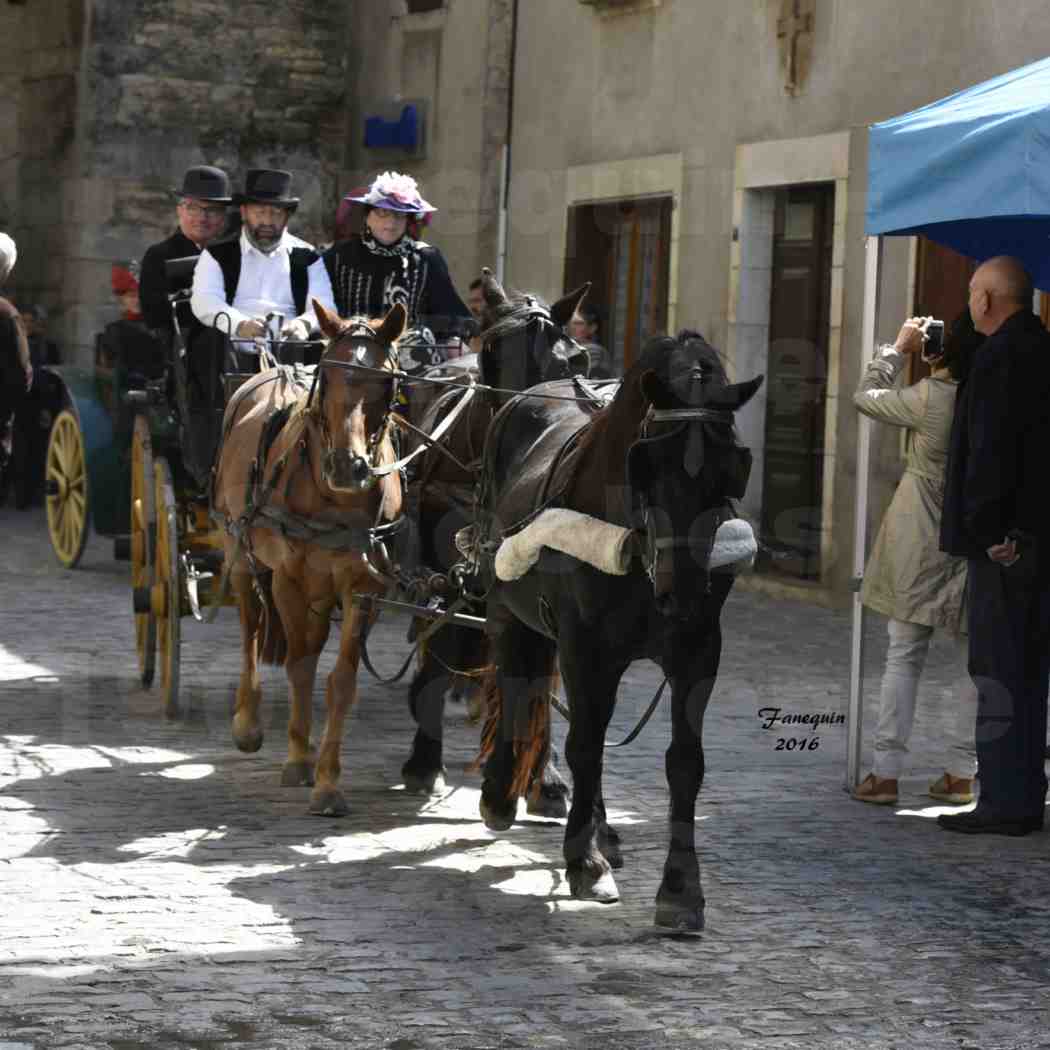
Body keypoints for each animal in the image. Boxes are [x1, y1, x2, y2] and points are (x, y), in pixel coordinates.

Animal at [212, 300, 405, 814]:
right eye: (329, 374)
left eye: (385, 382)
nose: (347, 466)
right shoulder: (288, 578)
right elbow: (299, 665)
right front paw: (298, 760)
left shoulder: (363, 588)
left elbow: (341, 681)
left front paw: (328, 780)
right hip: (240, 551)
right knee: (250, 627)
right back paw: (248, 723)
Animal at [398, 270, 592, 802]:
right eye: (492, 351)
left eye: (573, 360)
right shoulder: (445, 571)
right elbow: (444, 646)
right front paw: (423, 760)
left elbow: (541, 672)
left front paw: (546, 779)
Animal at [476, 329, 764, 936]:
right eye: (646, 463)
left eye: (732, 464)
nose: (684, 593)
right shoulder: (586, 651)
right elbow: (584, 746)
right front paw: (584, 862)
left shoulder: (699, 649)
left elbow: (684, 762)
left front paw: (680, 890)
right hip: (505, 607)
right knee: (514, 684)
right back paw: (501, 794)